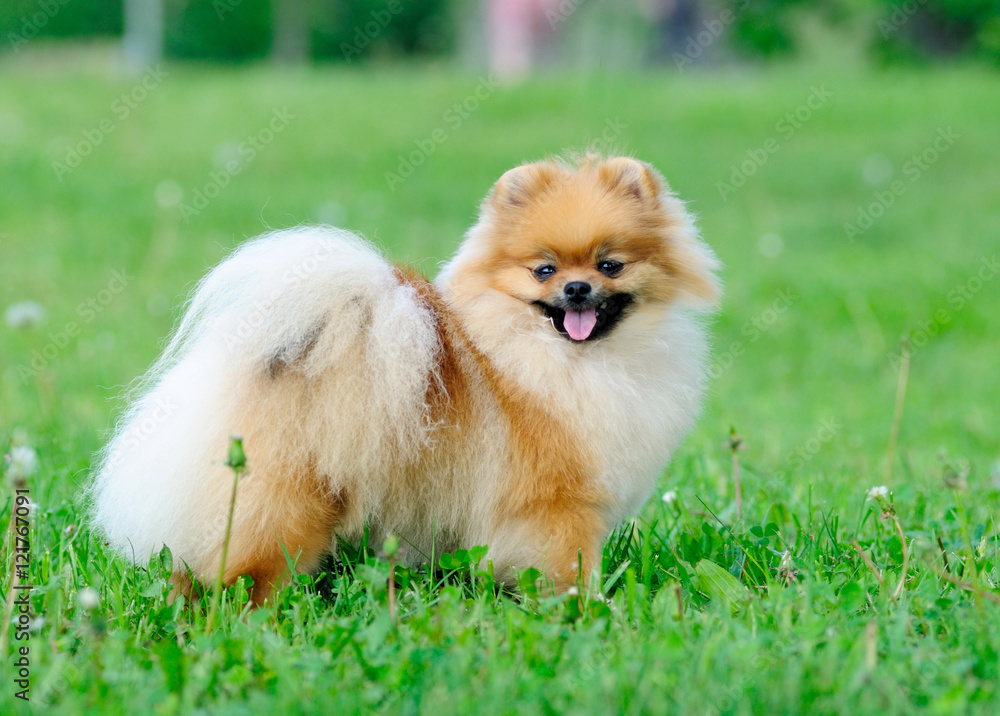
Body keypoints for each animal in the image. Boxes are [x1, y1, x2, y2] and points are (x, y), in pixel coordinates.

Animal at [90, 154, 720, 600]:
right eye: (544, 270)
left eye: (610, 265)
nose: (577, 287)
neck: (571, 360)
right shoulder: (556, 505)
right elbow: (570, 567)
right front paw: (588, 609)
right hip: (284, 506)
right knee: (247, 570)